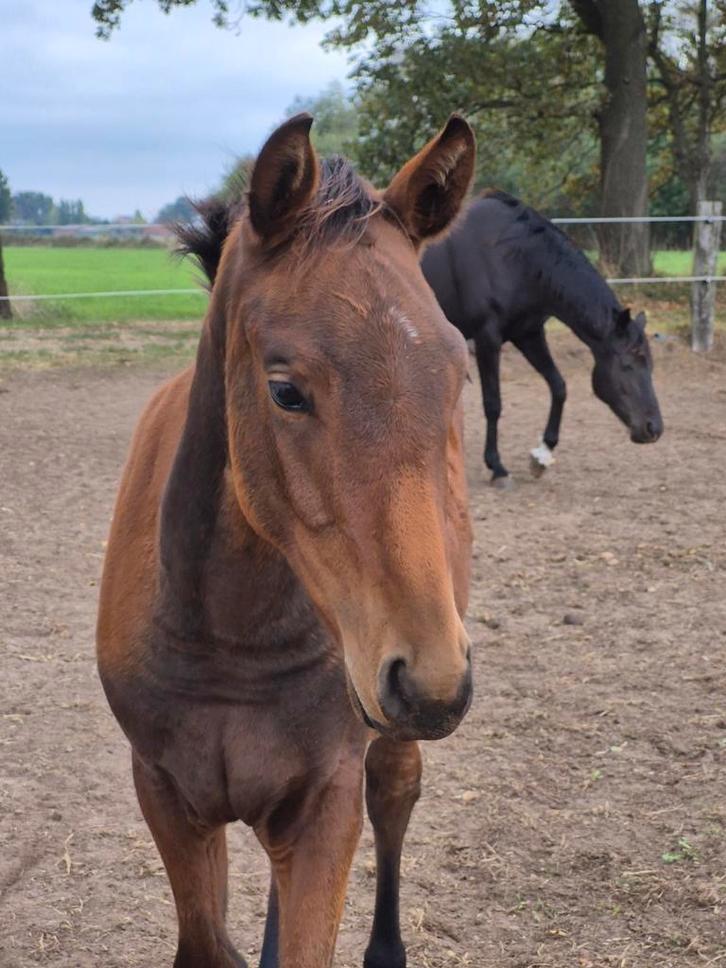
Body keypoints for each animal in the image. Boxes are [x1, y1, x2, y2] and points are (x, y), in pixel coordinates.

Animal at [96, 113, 477, 968]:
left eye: (458, 374)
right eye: (286, 391)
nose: (429, 681)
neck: (230, 639)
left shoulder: (325, 800)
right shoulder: (166, 793)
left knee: (395, 790)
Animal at [421, 190, 664, 485]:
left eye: (650, 365)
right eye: (627, 366)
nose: (653, 428)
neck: (514, 258)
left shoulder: (529, 335)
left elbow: (559, 386)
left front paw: (543, 453)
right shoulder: (487, 338)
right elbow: (493, 404)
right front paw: (497, 466)